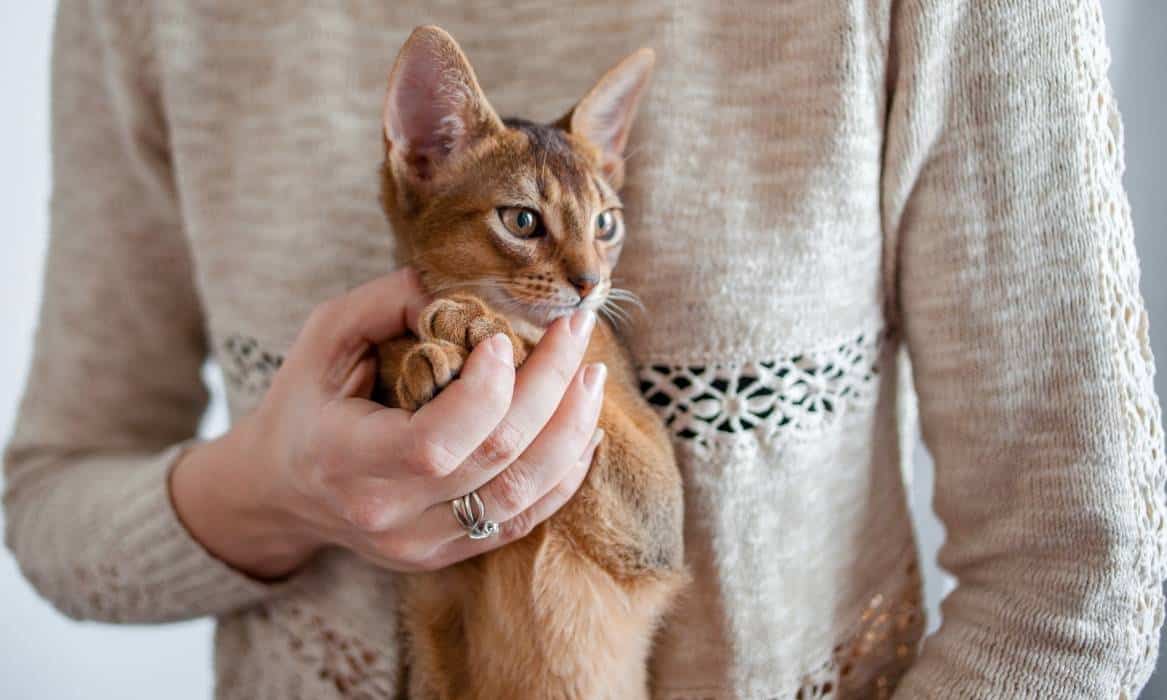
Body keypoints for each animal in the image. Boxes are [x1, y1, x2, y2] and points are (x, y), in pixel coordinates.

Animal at [375, 27, 681, 700]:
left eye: (605, 223)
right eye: (521, 220)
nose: (591, 284)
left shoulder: (659, 521)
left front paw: (478, 330)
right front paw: (415, 361)